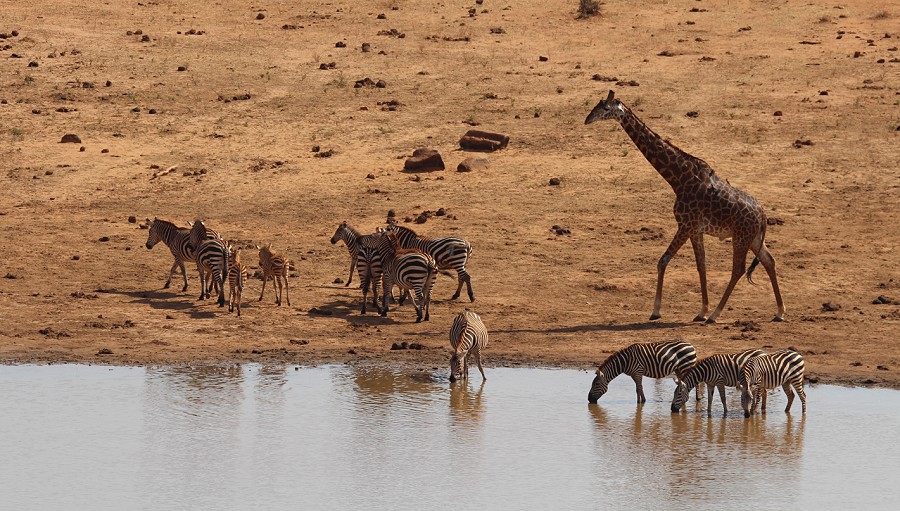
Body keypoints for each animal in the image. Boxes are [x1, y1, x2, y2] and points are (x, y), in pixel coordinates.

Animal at [588, 91, 784, 324]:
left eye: (606, 108)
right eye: (596, 105)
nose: (587, 119)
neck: (679, 179)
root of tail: (763, 214)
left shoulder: (685, 225)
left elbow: (663, 261)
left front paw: (656, 311)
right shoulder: (695, 229)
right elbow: (701, 266)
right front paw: (701, 310)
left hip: (741, 237)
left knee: (738, 269)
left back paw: (716, 315)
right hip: (752, 238)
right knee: (769, 260)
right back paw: (779, 312)